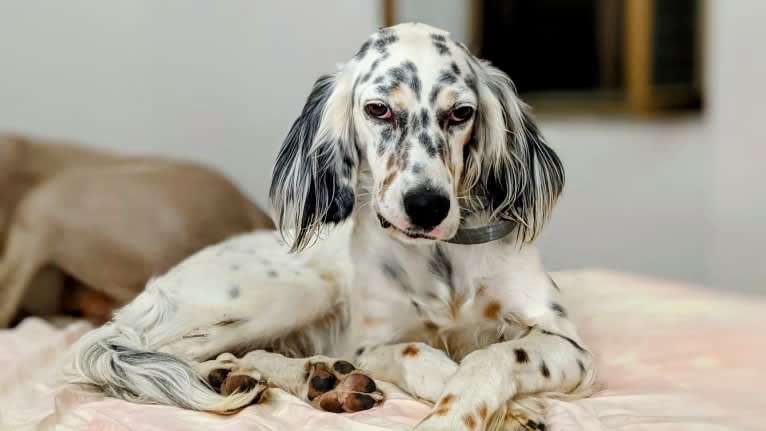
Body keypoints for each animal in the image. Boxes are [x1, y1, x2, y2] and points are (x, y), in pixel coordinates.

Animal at [67, 24, 600, 431]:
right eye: (378, 109)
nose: (426, 206)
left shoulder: (567, 344)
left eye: (461, 113)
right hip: (294, 291)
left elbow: (490, 355)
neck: (442, 260)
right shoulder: (370, 343)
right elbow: (424, 356)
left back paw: (310, 378)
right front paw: (484, 411)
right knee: (161, 351)